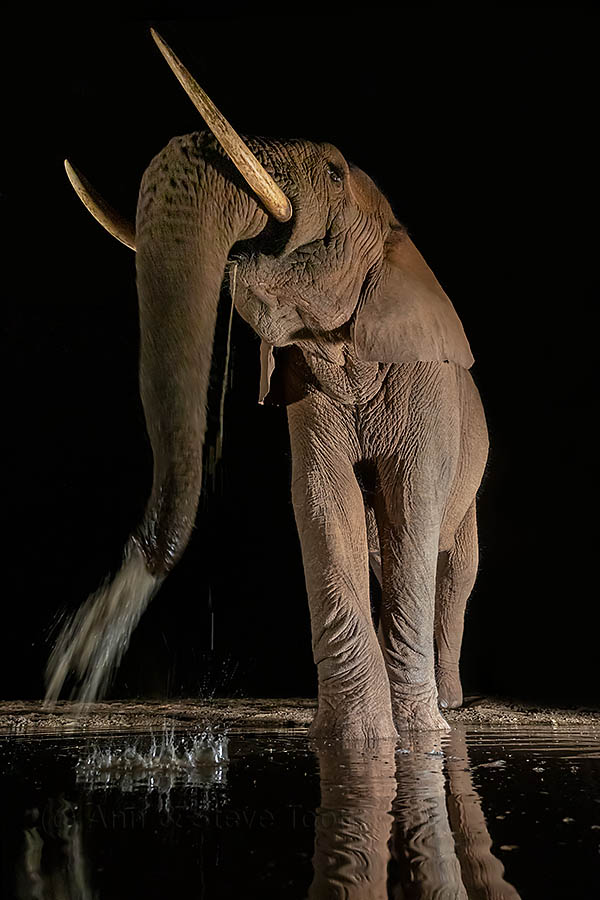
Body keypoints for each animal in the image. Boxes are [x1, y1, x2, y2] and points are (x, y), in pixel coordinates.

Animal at [45, 29, 488, 741]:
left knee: (452, 565)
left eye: (334, 172)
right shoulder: (309, 390)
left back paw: (448, 709)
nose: (144, 555)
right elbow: (322, 504)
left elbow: (411, 504)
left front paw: (416, 737)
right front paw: (356, 737)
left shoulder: (424, 390)